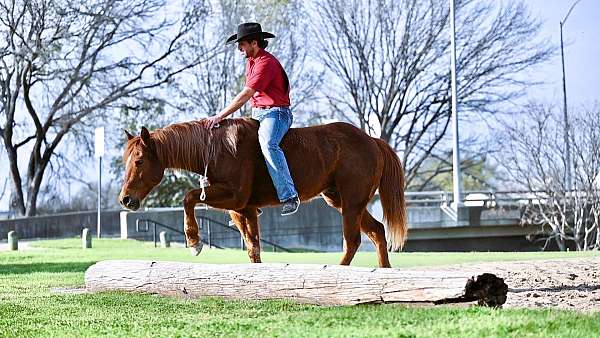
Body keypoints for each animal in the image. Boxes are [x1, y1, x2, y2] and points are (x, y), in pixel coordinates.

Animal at [119, 117, 406, 268]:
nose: (125, 199)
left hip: (351, 203)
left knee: (353, 241)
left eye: (139, 161)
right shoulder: (242, 208)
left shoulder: (234, 196)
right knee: (377, 232)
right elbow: (253, 247)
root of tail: (373, 141)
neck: (220, 149)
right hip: (342, 201)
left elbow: (188, 197)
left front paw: (193, 241)